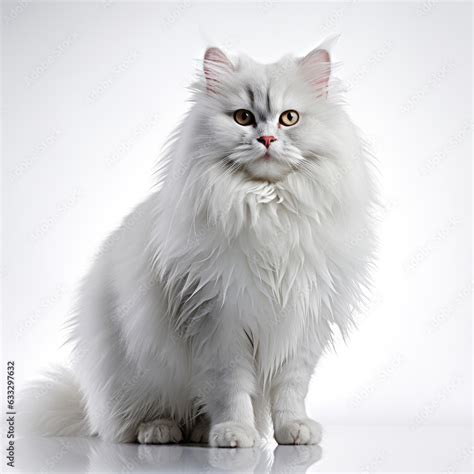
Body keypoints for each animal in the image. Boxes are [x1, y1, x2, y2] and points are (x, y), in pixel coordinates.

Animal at [21, 39, 378, 448]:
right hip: (137, 378)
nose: (267, 139)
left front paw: (294, 430)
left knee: (193, 416)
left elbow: (290, 390)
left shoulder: (303, 325)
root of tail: (89, 410)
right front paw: (235, 434)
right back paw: (164, 431)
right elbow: (230, 388)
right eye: (243, 117)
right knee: (134, 425)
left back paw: (204, 432)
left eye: (289, 118)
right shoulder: (217, 323)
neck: (268, 208)